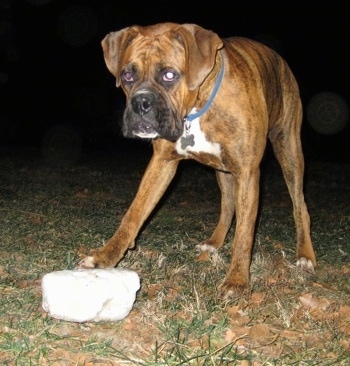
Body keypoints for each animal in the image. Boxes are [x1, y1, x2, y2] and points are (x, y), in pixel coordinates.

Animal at [80, 22, 318, 298]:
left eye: (169, 75)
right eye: (127, 76)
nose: (141, 103)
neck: (197, 107)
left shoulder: (248, 172)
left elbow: (245, 233)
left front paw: (237, 280)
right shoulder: (162, 164)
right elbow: (134, 213)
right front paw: (106, 256)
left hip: (288, 151)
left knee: (300, 206)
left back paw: (305, 255)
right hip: (224, 170)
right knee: (228, 204)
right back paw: (214, 241)